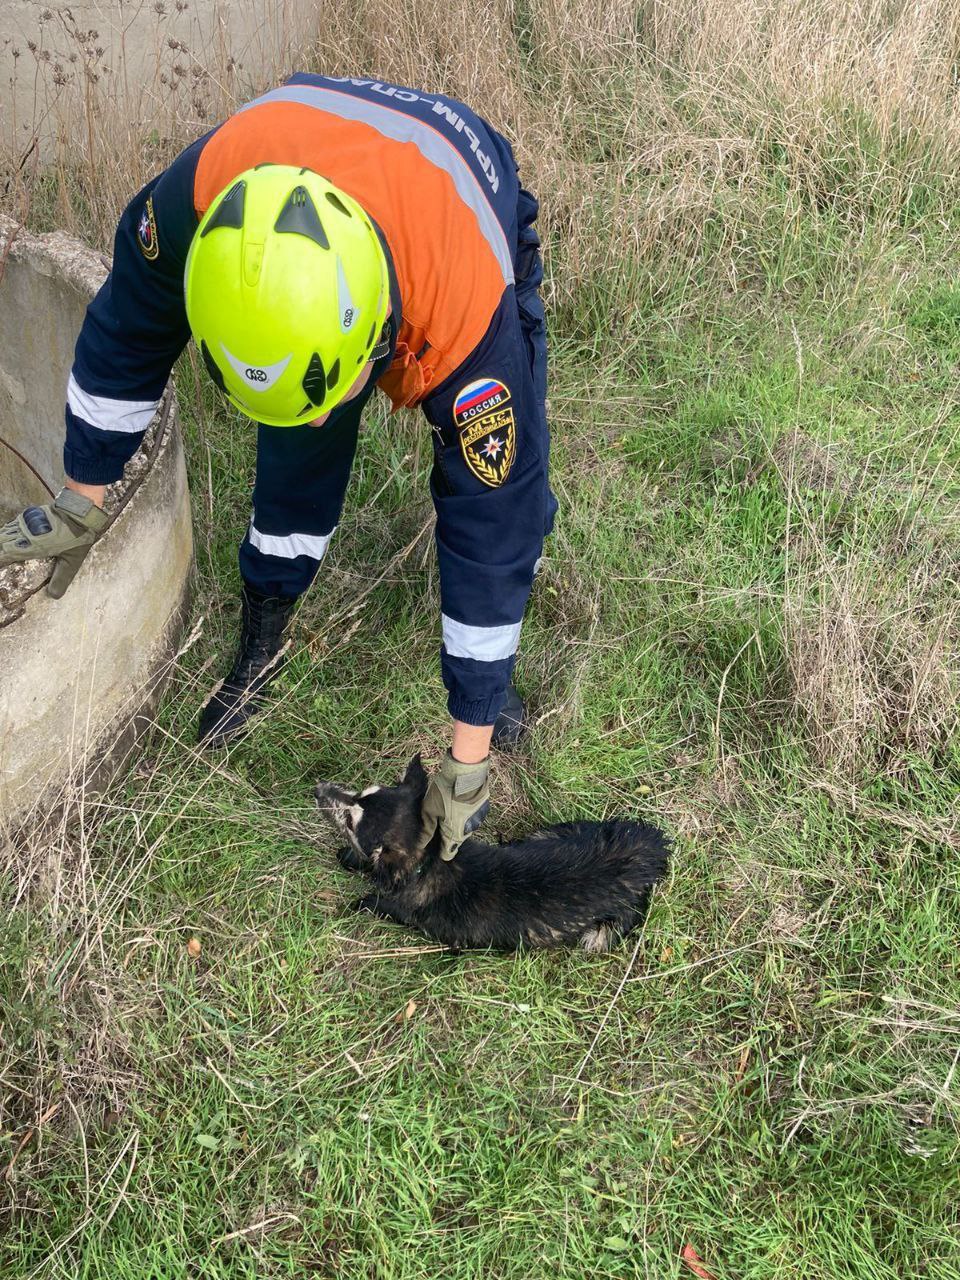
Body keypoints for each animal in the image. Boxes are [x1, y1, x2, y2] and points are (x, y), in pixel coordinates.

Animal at [313, 752, 670, 947]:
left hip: (608, 928)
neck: (429, 862)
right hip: (557, 831)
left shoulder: (403, 908)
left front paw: (358, 899)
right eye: (362, 792)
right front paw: (350, 858)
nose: (318, 789)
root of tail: (648, 850)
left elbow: (376, 901)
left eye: (350, 821)